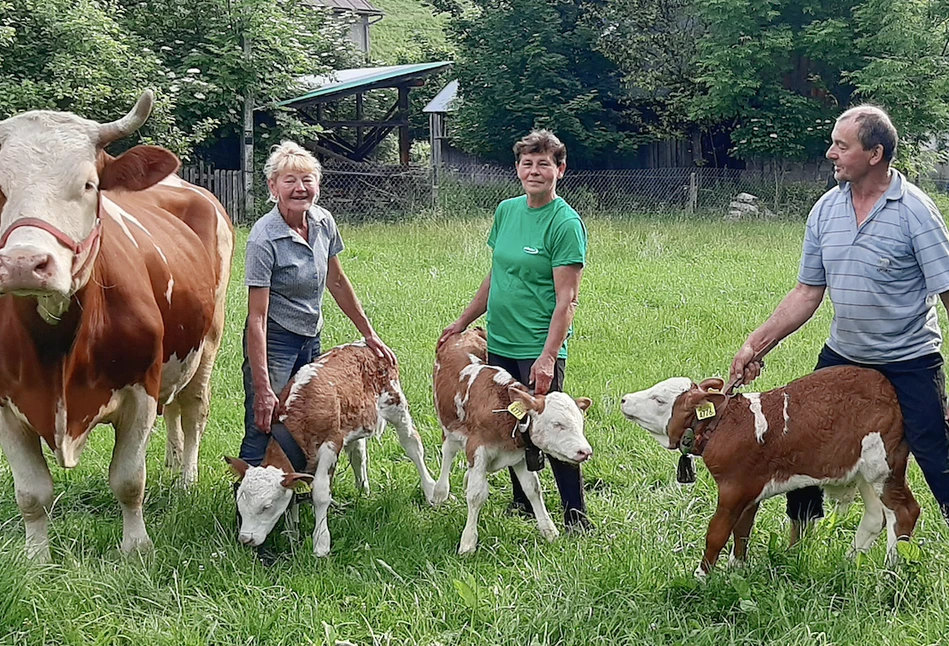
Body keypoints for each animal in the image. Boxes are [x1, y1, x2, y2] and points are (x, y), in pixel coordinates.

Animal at [0, 91, 233, 560]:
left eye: (89, 185)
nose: (23, 264)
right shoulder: (5, 403)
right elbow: (31, 493)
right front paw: (37, 559)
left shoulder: (140, 389)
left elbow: (128, 479)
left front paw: (137, 548)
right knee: (173, 410)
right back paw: (173, 461)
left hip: (208, 343)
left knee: (193, 411)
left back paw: (186, 478)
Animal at [226, 342, 436, 560]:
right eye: (240, 502)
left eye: (266, 506)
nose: (245, 539)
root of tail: (364, 344)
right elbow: (295, 494)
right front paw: (292, 534)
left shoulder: (331, 443)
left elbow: (320, 494)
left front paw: (321, 544)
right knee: (358, 454)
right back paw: (363, 490)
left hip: (396, 404)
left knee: (412, 444)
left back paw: (431, 491)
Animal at [432, 332, 592, 556]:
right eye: (557, 424)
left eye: (580, 423)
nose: (585, 451)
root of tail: (468, 332)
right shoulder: (477, 447)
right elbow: (476, 494)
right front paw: (468, 542)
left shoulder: (520, 456)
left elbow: (532, 489)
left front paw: (549, 531)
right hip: (447, 424)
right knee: (448, 453)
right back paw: (439, 493)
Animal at [624, 368, 920, 580]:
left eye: (659, 400)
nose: (625, 399)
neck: (721, 426)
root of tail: (889, 389)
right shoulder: (749, 491)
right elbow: (742, 530)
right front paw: (737, 568)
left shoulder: (734, 488)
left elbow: (717, 533)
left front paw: (700, 576)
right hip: (863, 473)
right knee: (876, 516)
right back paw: (848, 563)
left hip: (883, 467)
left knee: (905, 511)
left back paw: (889, 576)